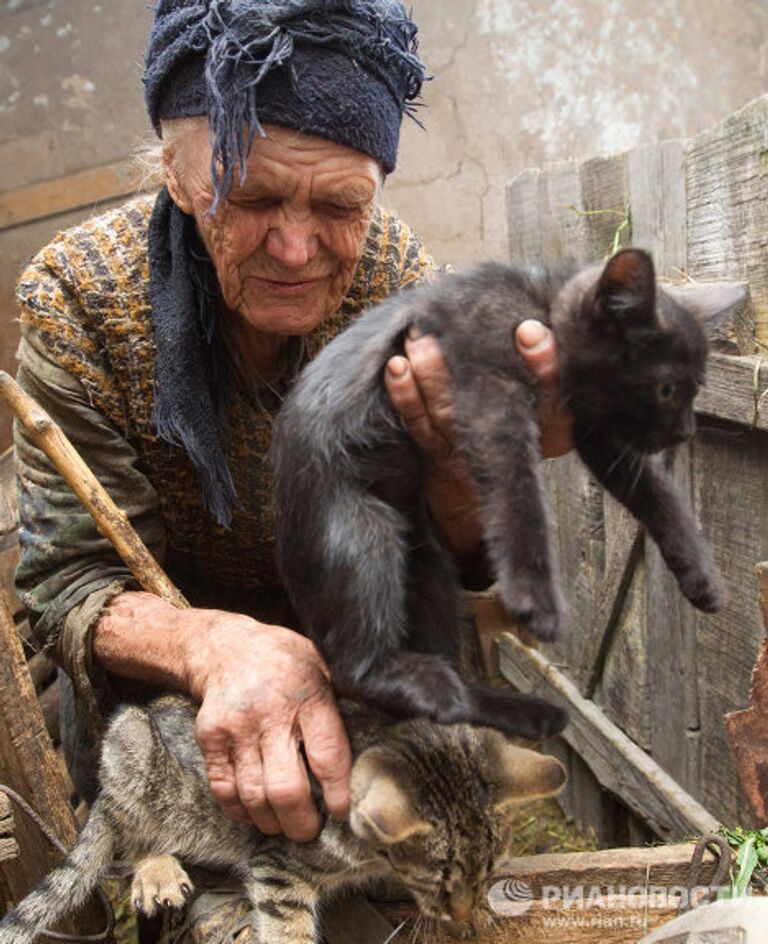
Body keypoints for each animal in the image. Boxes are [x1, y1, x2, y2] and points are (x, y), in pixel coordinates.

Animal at [0, 692, 564, 944]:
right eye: (440, 880)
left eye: (490, 872)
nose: (464, 910)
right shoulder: (276, 864)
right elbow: (287, 928)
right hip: (131, 750)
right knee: (129, 837)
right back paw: (156, 870)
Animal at [272, 247, 736, 740]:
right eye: (666, 390)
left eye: (696, 389)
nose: (686, 432)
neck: (541, 303)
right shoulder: (490, 390)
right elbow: (517, 490)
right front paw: (536, 600)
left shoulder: (596, 430)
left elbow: (656, 496)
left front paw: (701, 577)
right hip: (361, 530)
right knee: (350, 668)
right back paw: (426, 683)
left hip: (427, 565)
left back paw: (520, 710)